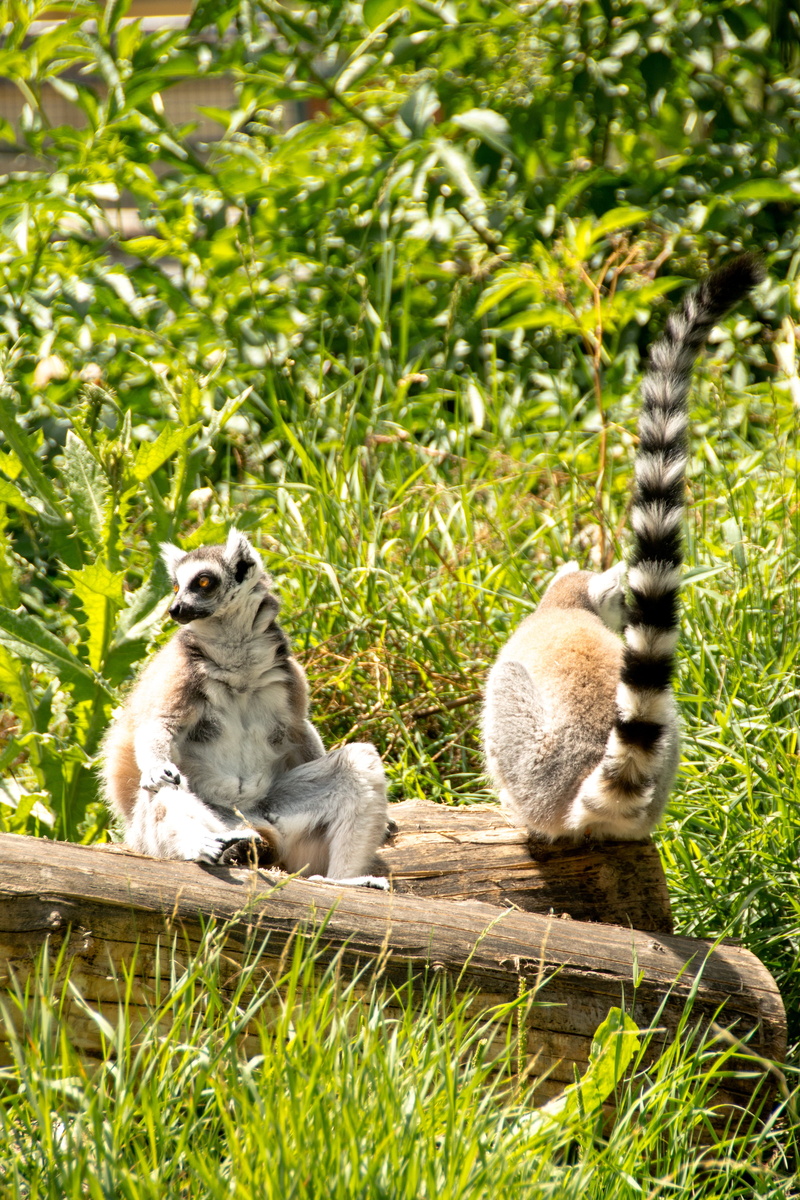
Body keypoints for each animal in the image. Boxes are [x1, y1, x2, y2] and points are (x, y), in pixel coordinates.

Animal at [100, 528, 389, 885]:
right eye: (176, 587)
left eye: (203, 582)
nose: (174, 609)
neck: (236, 656)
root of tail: (256, 827)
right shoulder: (182, 671)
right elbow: (161, 724)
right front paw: (157, 766)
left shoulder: (286, 677)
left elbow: (299, 729)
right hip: (163, 832)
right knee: (167, 784)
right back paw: (206, 844)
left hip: (279, 819)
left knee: (358, 762)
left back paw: (342, 880)